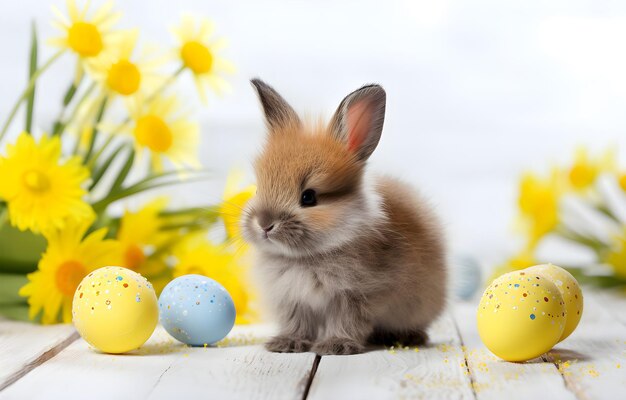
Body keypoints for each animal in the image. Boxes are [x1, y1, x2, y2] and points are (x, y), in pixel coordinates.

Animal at [241, 79, 446, 354]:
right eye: (257, 189)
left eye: (309, 197)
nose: (264, 224)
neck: (308, 257)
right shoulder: (292, 299)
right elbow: (296, 323)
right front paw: (286, 344)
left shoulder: (356, 295)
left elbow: (346, 321)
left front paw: (336, 346)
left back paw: (405, 338)